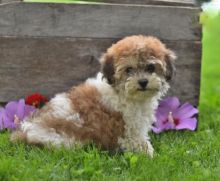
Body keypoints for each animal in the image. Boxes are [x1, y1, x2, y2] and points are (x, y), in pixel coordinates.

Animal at [10, 35, 175, 157]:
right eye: (129, 69)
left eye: (151, 67)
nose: (143, 82)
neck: (122, 92)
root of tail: (26, 132)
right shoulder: (130, 128)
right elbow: (140, 143)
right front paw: (151, 157)